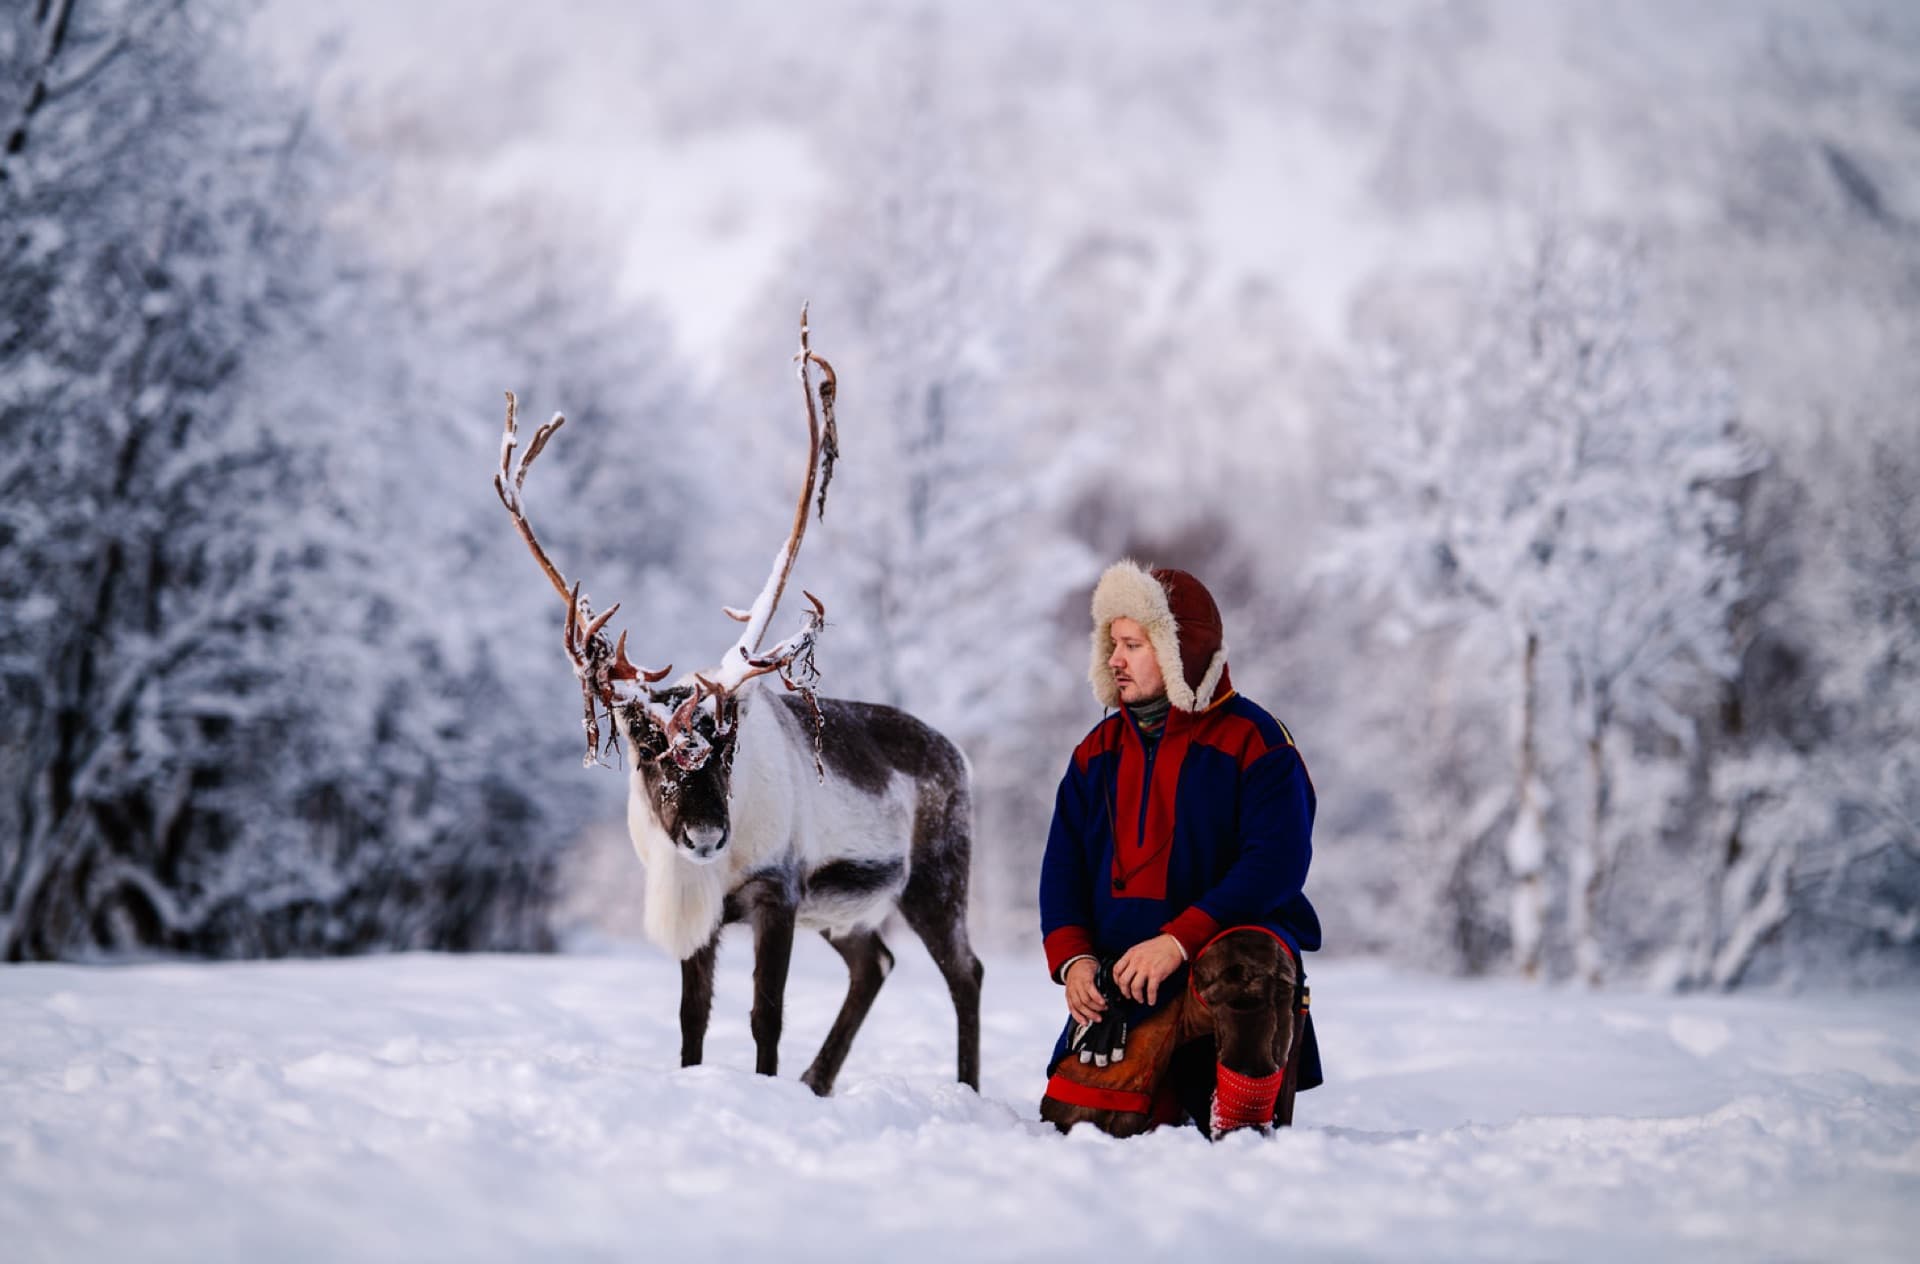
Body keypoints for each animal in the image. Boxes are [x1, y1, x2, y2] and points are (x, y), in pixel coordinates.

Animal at [492, 308, 981, 1095]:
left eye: (728, 745)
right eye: (646, 744)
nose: (703, 835)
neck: (705, 871)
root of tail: (959, 753)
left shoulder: (775, 894)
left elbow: (764, 1017)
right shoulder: (701, 910)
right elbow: (692, 1018)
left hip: (935, 879)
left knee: (965, 972)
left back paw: (963, 1087)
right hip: (848, 912)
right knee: (877, 964)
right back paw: (817, 1080)